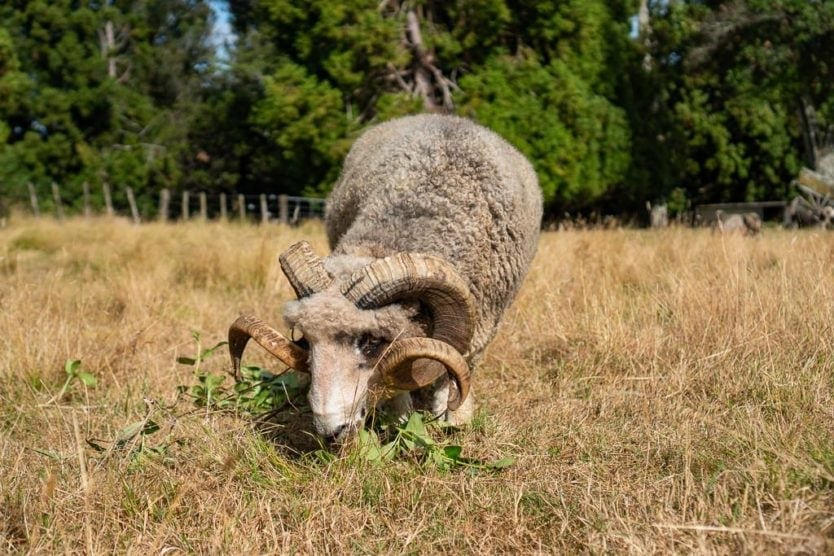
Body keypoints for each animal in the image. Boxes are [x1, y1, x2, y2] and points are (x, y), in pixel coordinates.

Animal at [229, 114, 540, 444]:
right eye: (305, 340)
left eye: (372, 342)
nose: (330, 432)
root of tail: (448, 117)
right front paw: (400, 422)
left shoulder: (478, 329)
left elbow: (456, 373)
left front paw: (454, 418)